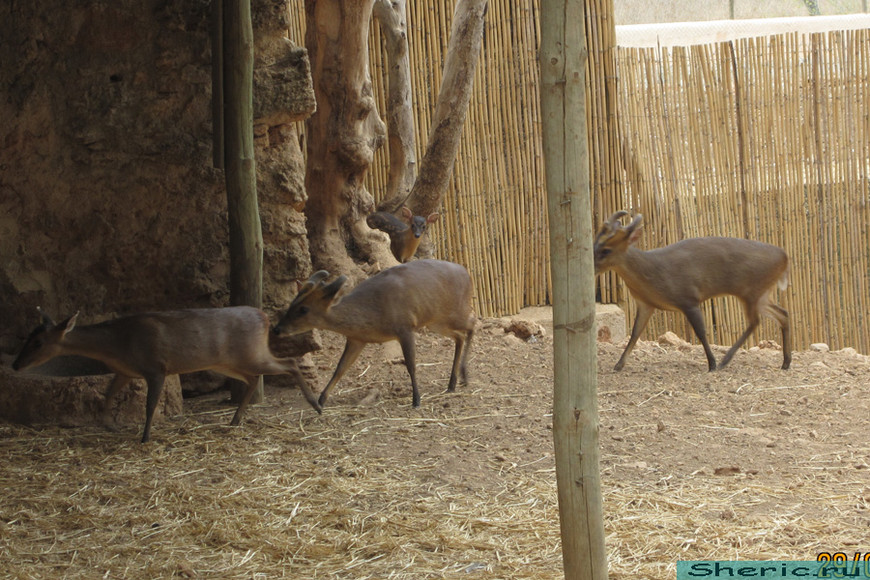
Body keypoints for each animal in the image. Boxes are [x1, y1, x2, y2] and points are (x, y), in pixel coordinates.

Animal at [11, 306, 320, 442]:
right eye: (28, 336)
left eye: (38, 342)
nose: (15, 365)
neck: (119, 346)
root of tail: (265, 317)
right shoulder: (125, 371)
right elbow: (107, 395)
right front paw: (109, 425)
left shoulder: (156, 367)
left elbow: (150, 405)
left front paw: (145, 437)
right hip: (230, 362)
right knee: (255, 378)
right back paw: (234, 420)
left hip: (250, 354)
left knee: (290, 363)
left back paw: (315, 404)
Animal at [276, 258, 476, 408]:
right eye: (293, 302)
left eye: (303, 309)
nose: (277, 329)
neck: (372, 313)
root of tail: (467, 273)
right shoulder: (356, 339)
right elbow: (340, 368)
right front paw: (320, 401)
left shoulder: (405, 328)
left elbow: (411, 365)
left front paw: (416, 400)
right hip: (436, 322)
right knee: (460, 335)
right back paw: (452, 383)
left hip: (454, 312)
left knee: (473, 323)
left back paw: (464, 376)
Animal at [596, 212, 792, 372]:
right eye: (595, 242)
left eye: (606, 250)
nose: (592, 265)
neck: (652, 270)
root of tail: (784, 257)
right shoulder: (646, 304)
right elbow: (635, 333)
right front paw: (618, 365)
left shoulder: (688, 299)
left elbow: (701, 332)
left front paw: (712, 364)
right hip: (762, 294)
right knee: (783, 313)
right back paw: (785, 362)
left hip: (751, 292)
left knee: (755, 321)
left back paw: (725, 361)